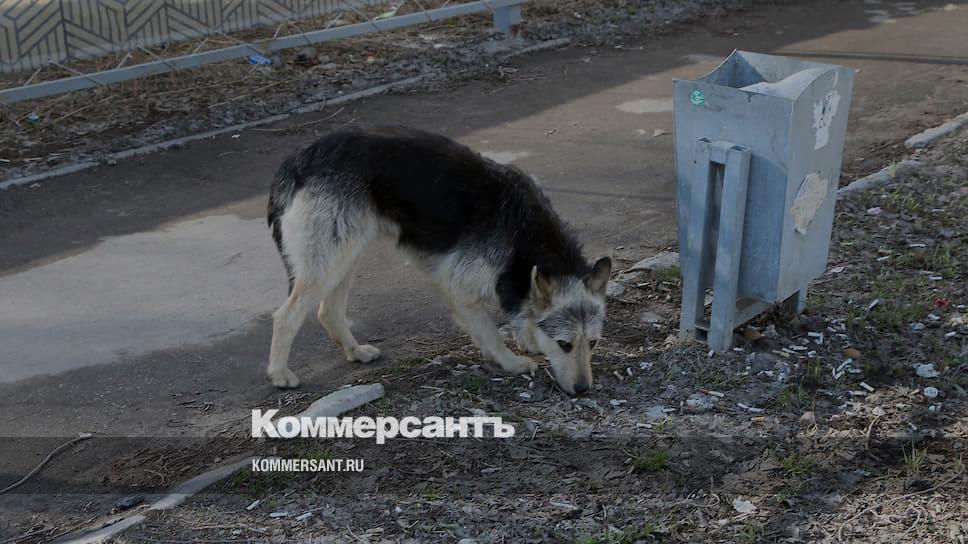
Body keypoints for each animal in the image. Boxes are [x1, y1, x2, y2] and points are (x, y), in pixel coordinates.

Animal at [266, 126, 611, 395]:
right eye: (565, 345)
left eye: (593, 343)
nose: (583, 390)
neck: (524, 235)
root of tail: (298, 160)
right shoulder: (459, 289)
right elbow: (491, 333)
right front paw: (511, 362)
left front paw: (525, 338)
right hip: (329, 261)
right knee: (286, 316)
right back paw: (279, 373)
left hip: (346, 256)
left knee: (328, 311)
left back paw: (354, 351)